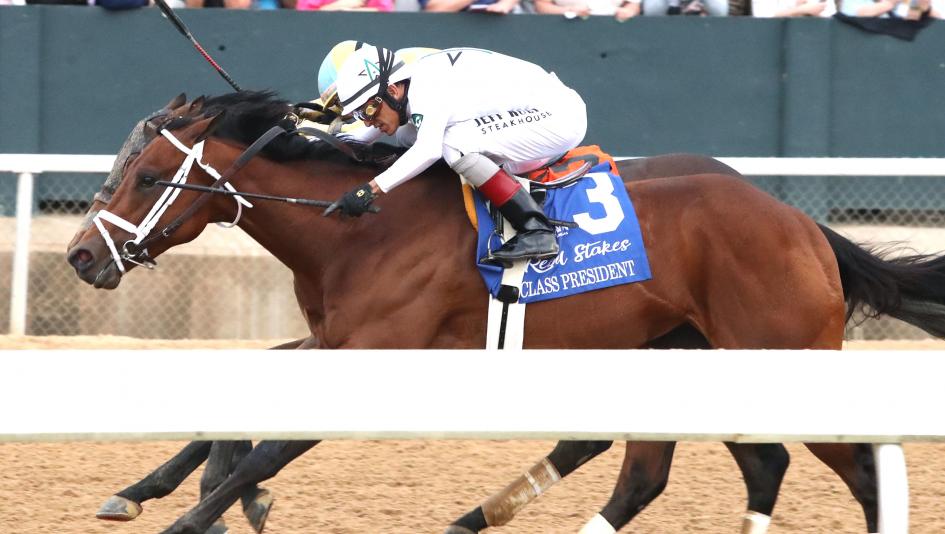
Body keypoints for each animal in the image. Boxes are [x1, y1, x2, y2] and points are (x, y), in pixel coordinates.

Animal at [66, 92, 945, 534]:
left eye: (146, 178)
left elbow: (265, 454)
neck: (360, 224)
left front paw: (202, 513)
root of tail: (803, 225)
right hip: (684, 355)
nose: (79, 255)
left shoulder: (375, 351)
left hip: (771, 350)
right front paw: (151, 491)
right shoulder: (334, 339)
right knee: (696, 469)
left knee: (857, 476)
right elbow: (241, 407)